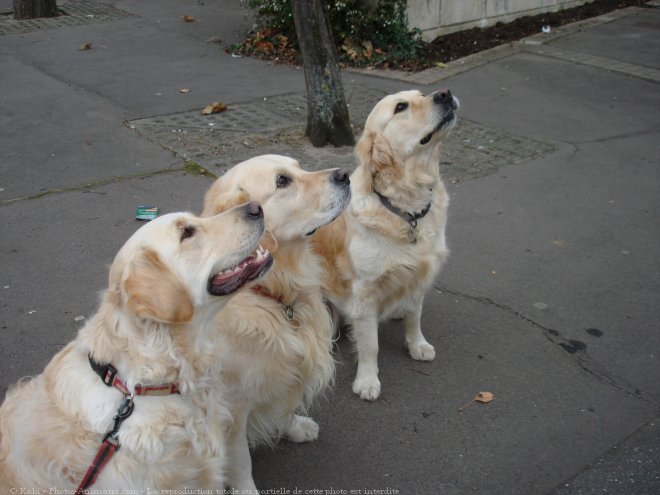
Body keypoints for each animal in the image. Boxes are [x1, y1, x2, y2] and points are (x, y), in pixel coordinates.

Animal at [201, 154, 354, 492]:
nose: (345, 174)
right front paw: (246, 490)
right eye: (282, 181)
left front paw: (295, 427)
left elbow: (287, 403)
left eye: (299, 166)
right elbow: (240, 461)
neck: (275, 294)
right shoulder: (232, 407)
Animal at [314, 89, 458, 404]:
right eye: (400, 107)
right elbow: (370, 344)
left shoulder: (419, 277)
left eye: (421, 95)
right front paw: (367, 380)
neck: (406, 209)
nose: (445, 94)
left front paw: (417, 345)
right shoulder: (365, 292)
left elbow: (415, 316)